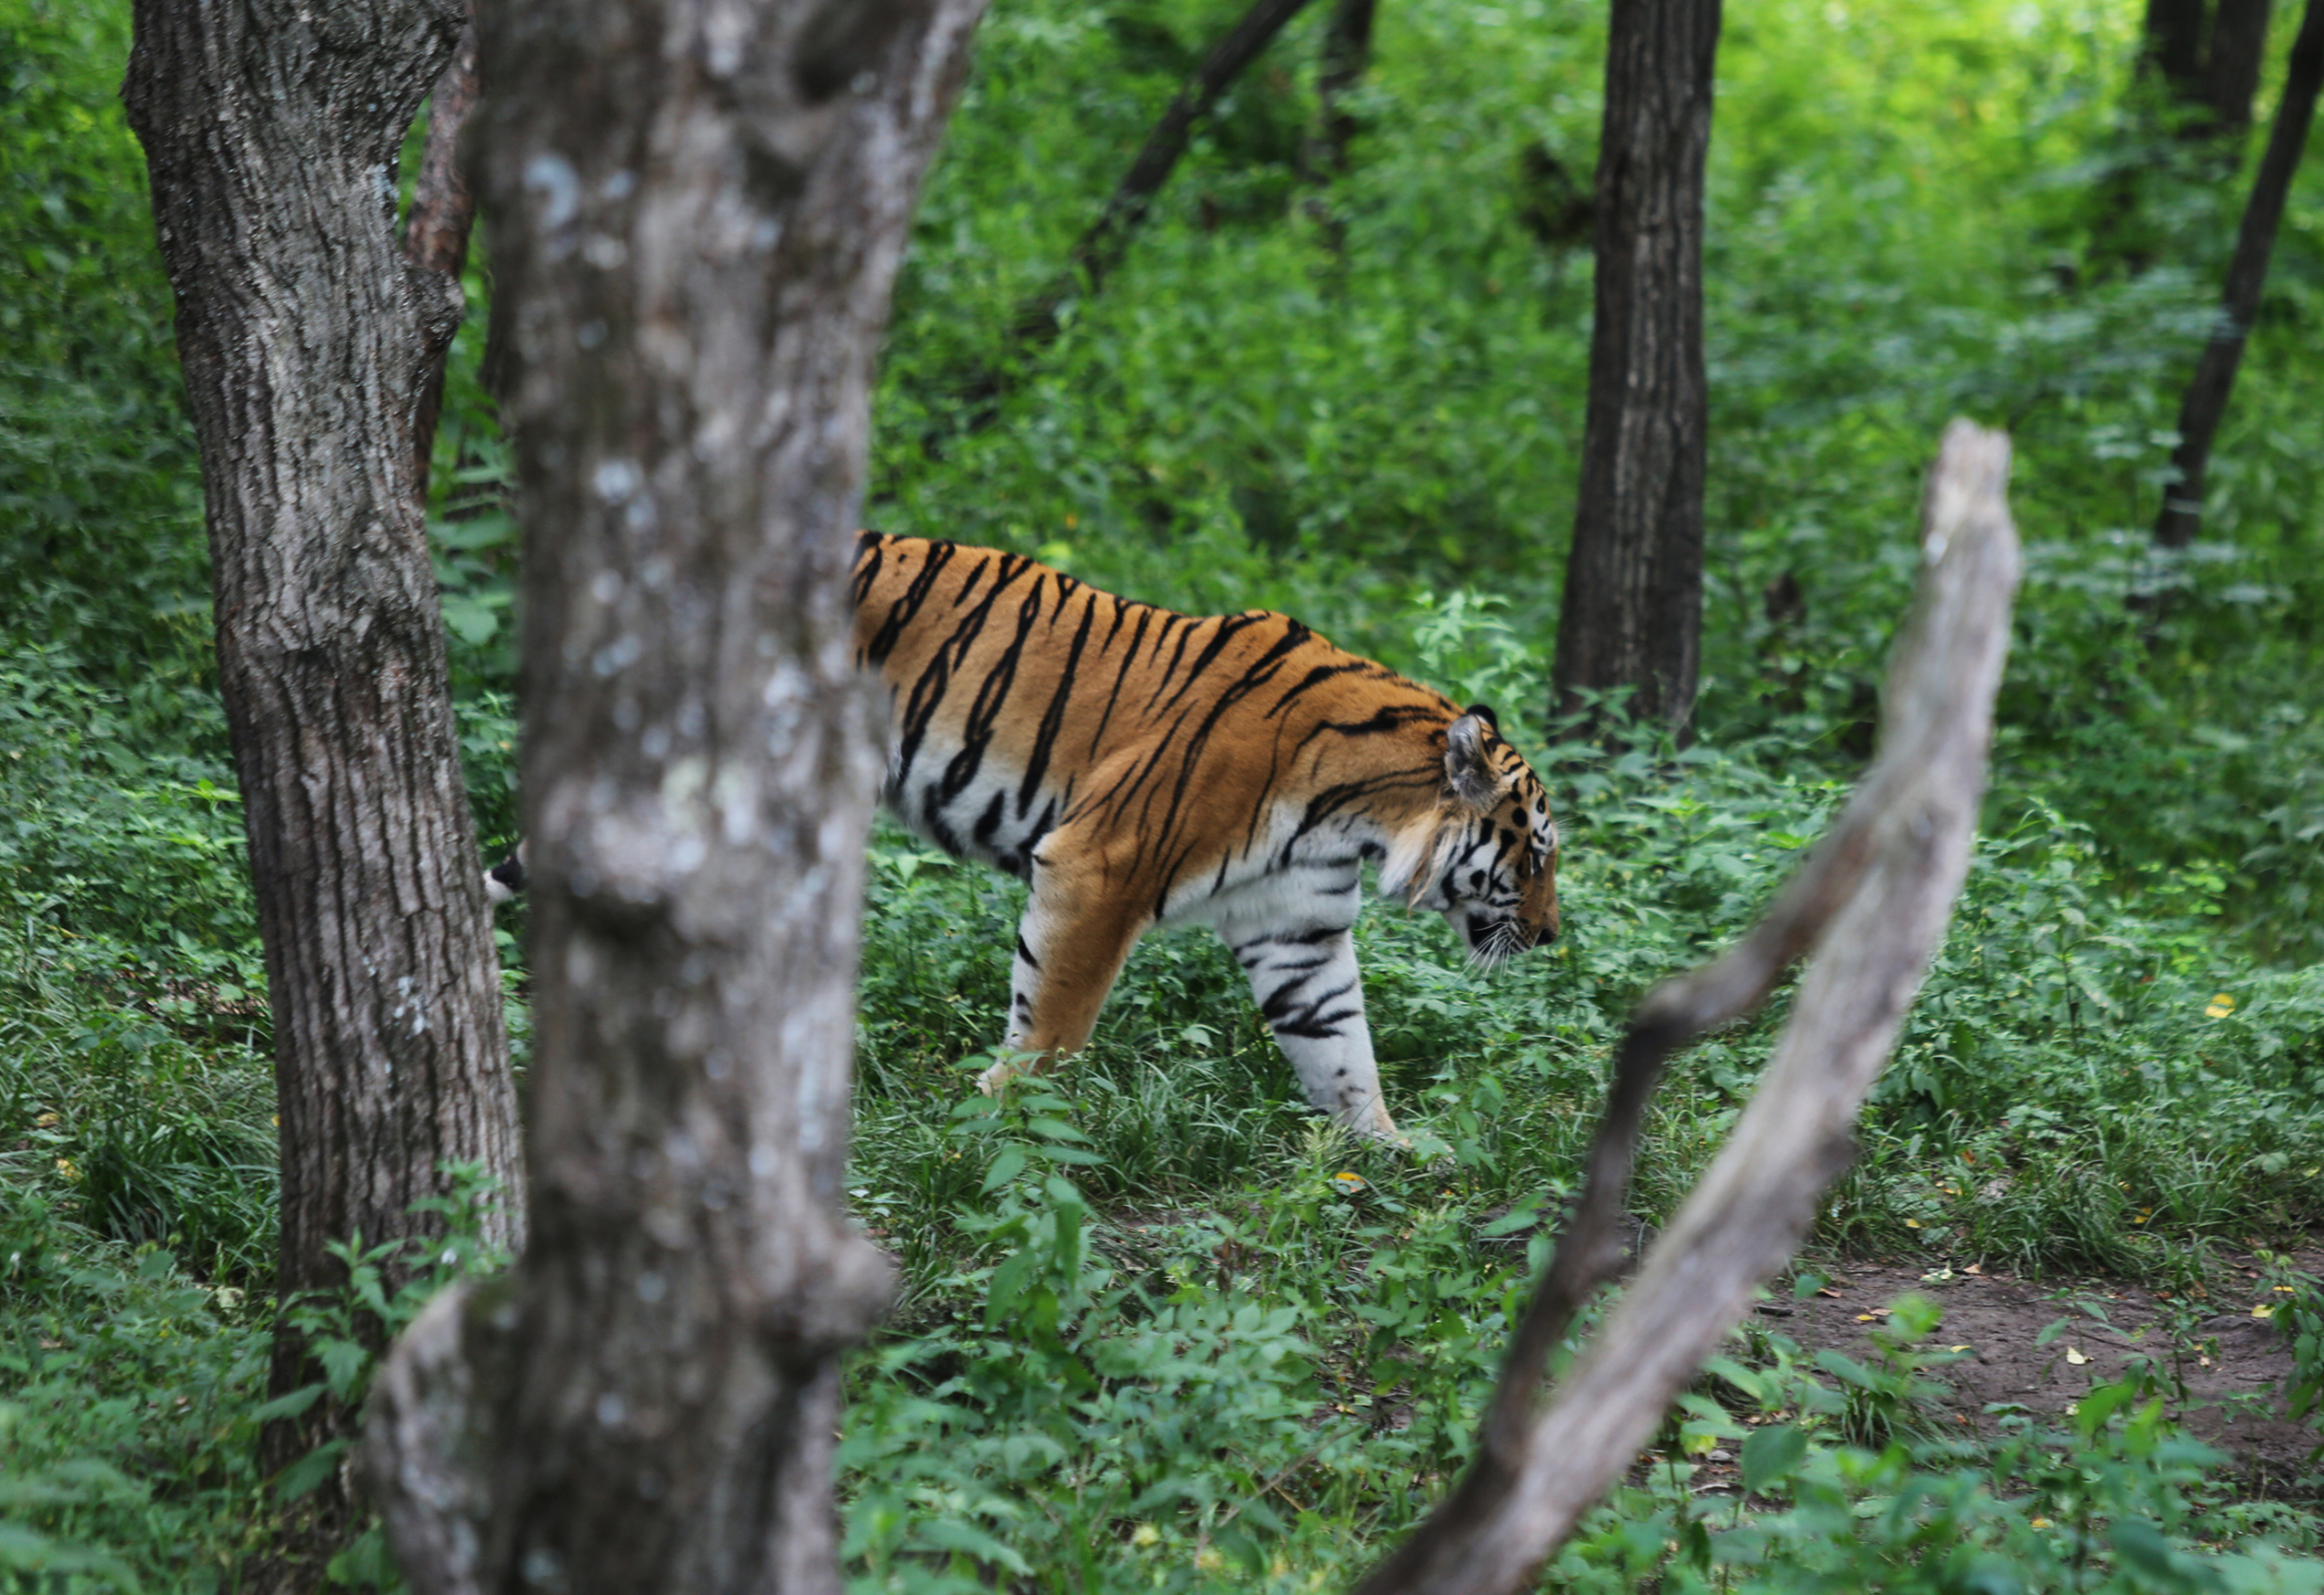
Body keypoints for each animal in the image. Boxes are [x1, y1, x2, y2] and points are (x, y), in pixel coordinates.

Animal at [488, 539, 1561, 1148]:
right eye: (1537, 855)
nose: (1552, 939)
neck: (1357, 814)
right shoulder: (1102, 864)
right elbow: (1056, 1023)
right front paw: (996, 1117)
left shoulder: (1295, 928)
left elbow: (1341, 1044)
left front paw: (1386, 1148)